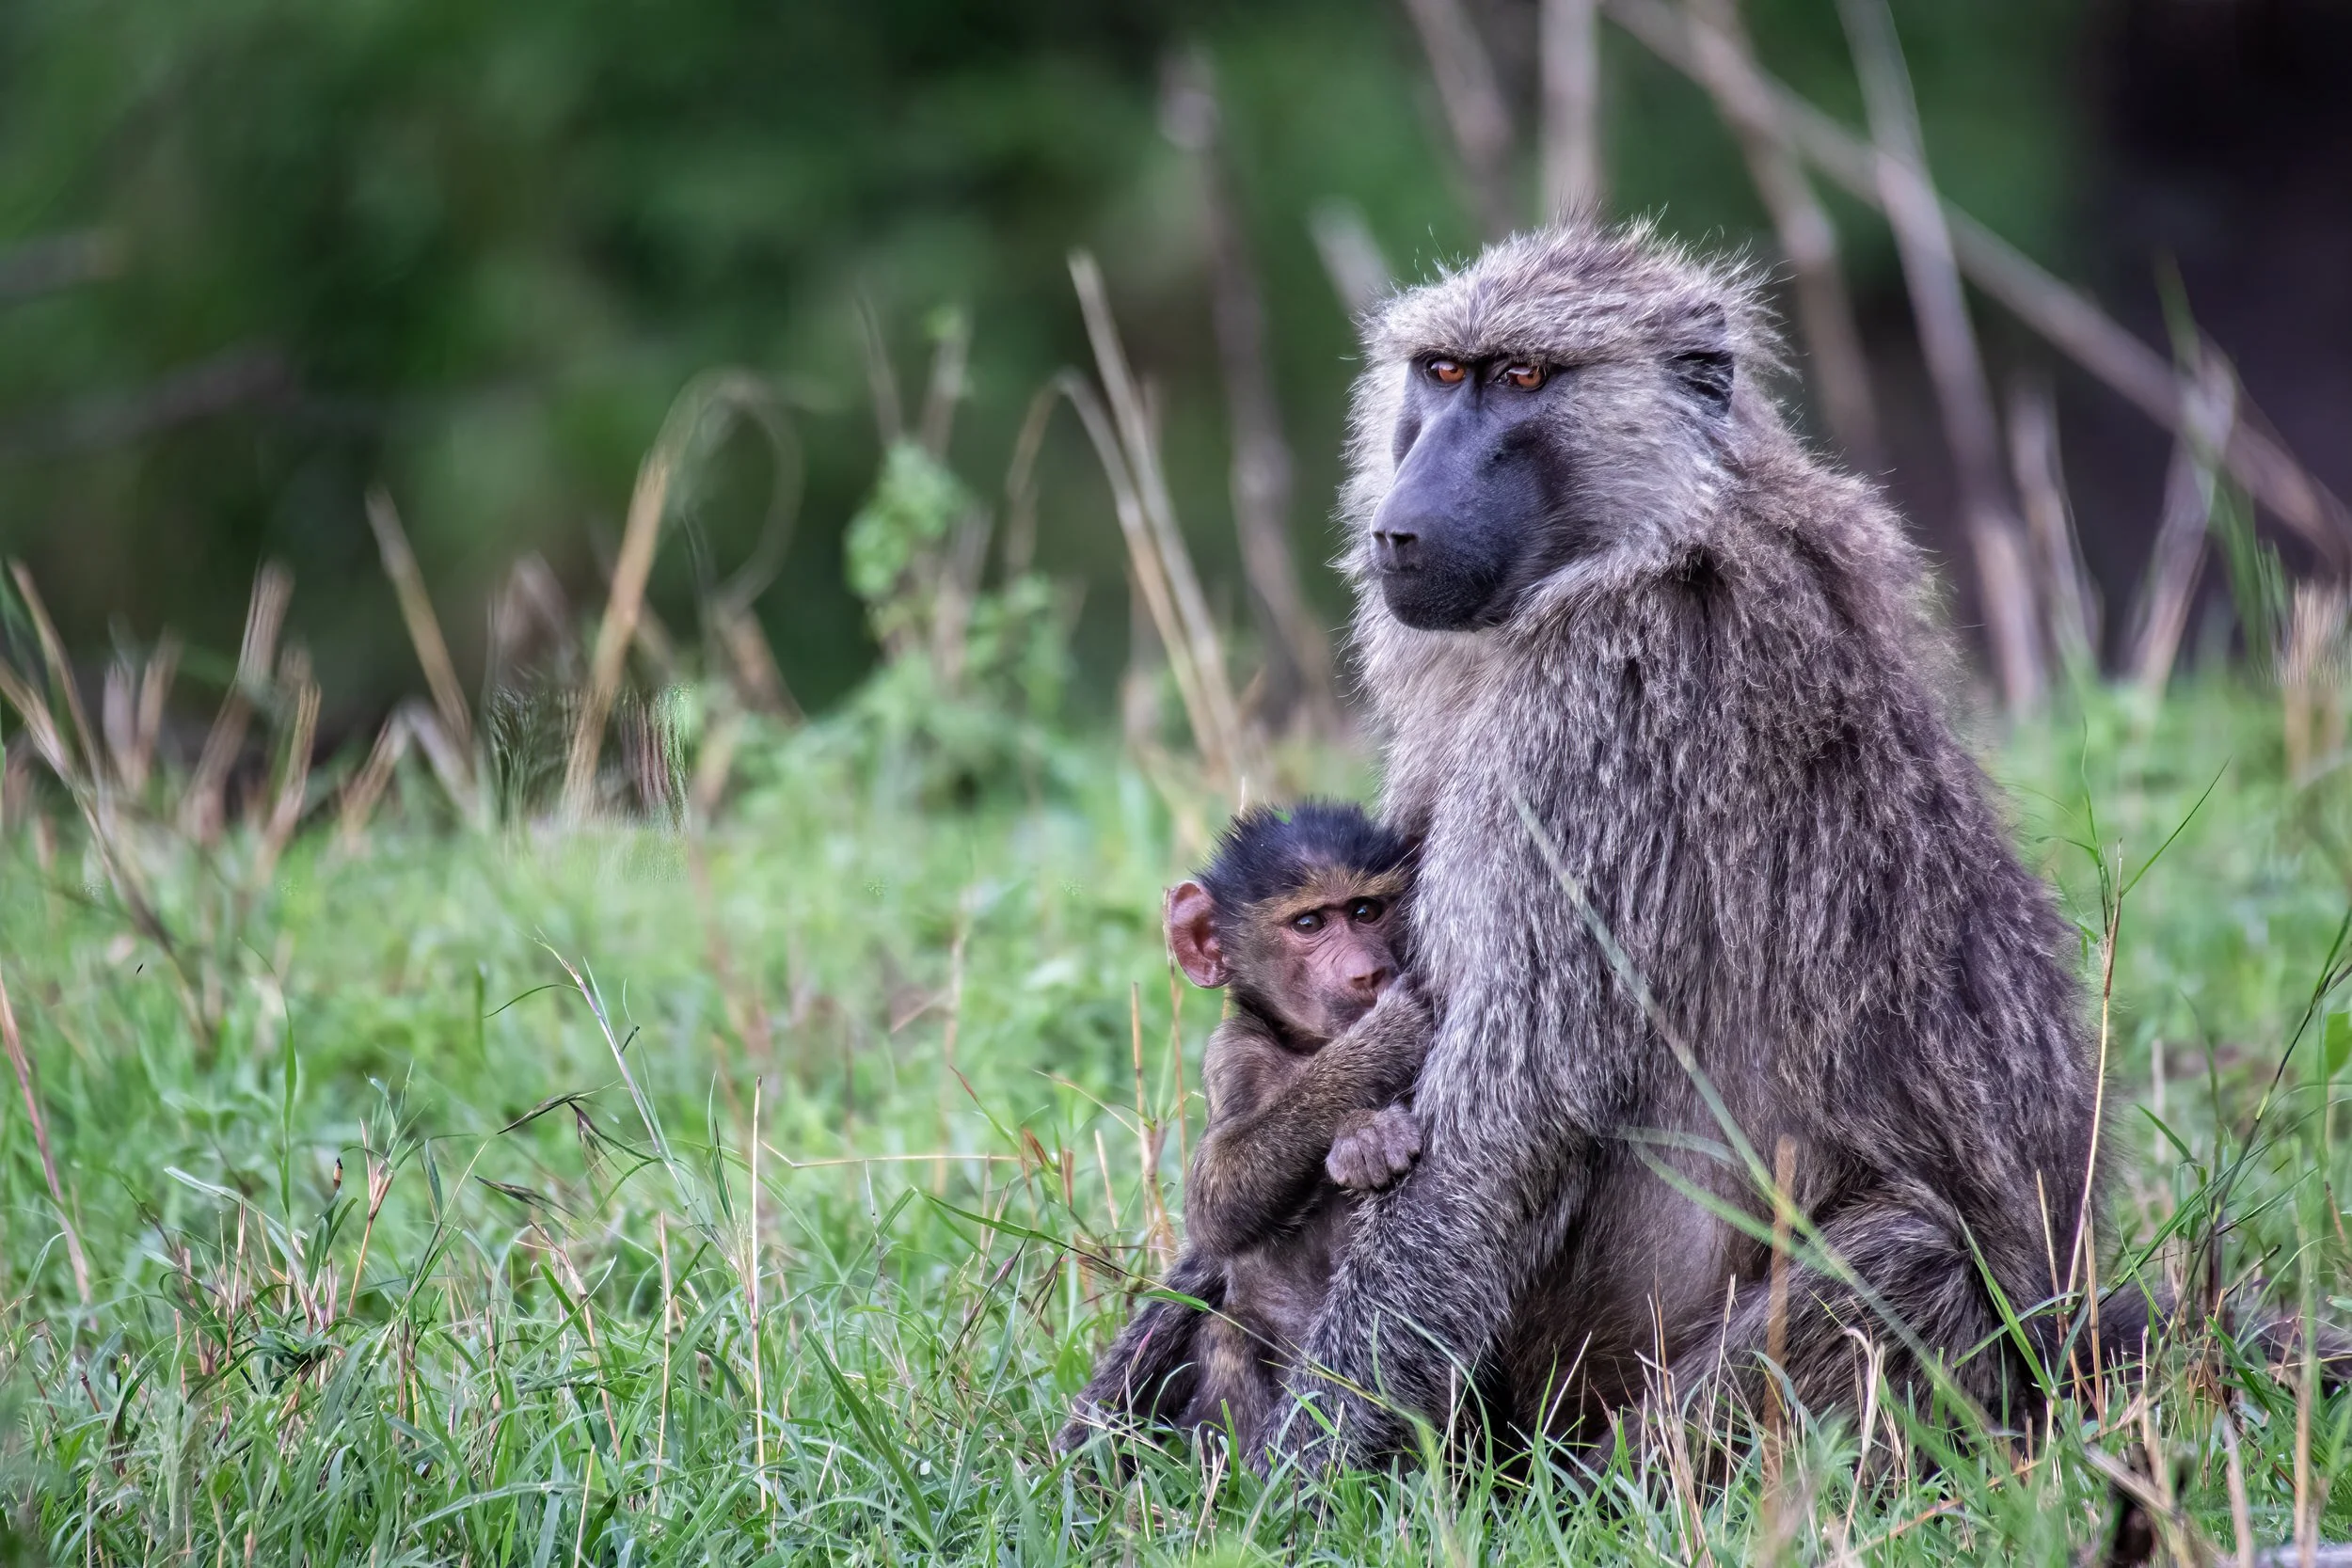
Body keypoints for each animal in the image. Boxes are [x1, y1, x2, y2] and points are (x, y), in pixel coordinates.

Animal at [1059, 802, 1433, 1455]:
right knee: (1227, 1335)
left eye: (1366, 911)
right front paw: (1378, 1052)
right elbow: (1215, 1201)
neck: (1303, 1045)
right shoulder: (1230, 1053)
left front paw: (1365, 1132)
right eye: (1310, 923)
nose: (1368, 973)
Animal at [1254, 221, 2122, 1472]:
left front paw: (1288, 1483)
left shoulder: (1598, 711)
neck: (1651, 536)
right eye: (1443, 371)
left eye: (1525, 377)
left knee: (1910, 1254)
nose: (1399, 527)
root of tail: (2064, 1358)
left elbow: (1504, 1125)